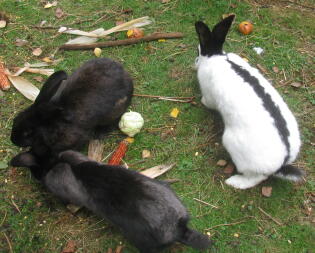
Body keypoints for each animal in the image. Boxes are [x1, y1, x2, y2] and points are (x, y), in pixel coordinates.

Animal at [195, 14, 304, 189]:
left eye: (198, 52)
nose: (195, 62)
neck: (215, 56)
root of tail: (282, 162)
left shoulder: (209, 93)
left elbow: (208, 101)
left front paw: (202, 101)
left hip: (232, 145)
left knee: (255, 178)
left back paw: (234, 182)